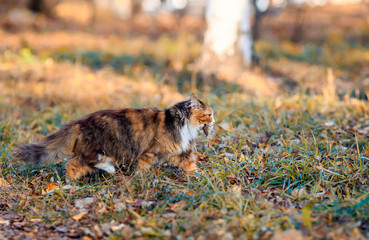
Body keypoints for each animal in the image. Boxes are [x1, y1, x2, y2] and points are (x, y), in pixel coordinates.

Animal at [13, 93, 213, 179]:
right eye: (209, 114)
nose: (214, 121)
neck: (182, 124)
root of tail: (79, 122)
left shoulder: (182, 153)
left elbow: (191, 167)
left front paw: (201, 179)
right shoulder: (150, 153)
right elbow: (142, 168)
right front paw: (138, 180)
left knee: (75, 165)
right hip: (101, 149)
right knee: (81, 162)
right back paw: (105, 171)